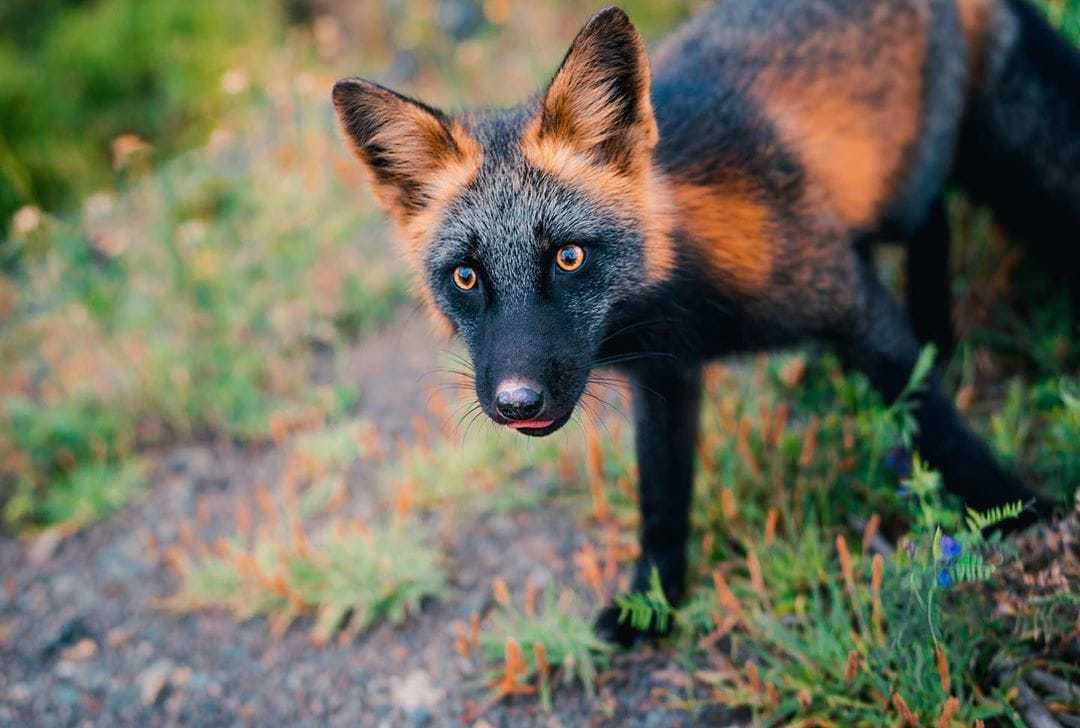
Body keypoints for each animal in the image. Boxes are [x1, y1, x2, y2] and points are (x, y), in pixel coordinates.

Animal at [332, 0, 1075, 648]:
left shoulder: (850, 302)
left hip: (929, 181)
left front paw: (1020, 511)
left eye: (568, 257)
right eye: (466, 277)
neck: (683, 300)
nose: (518, 403)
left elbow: (941, 429)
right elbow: (662, 501)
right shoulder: (664, 376)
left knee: (934, 221)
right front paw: (653, 604)